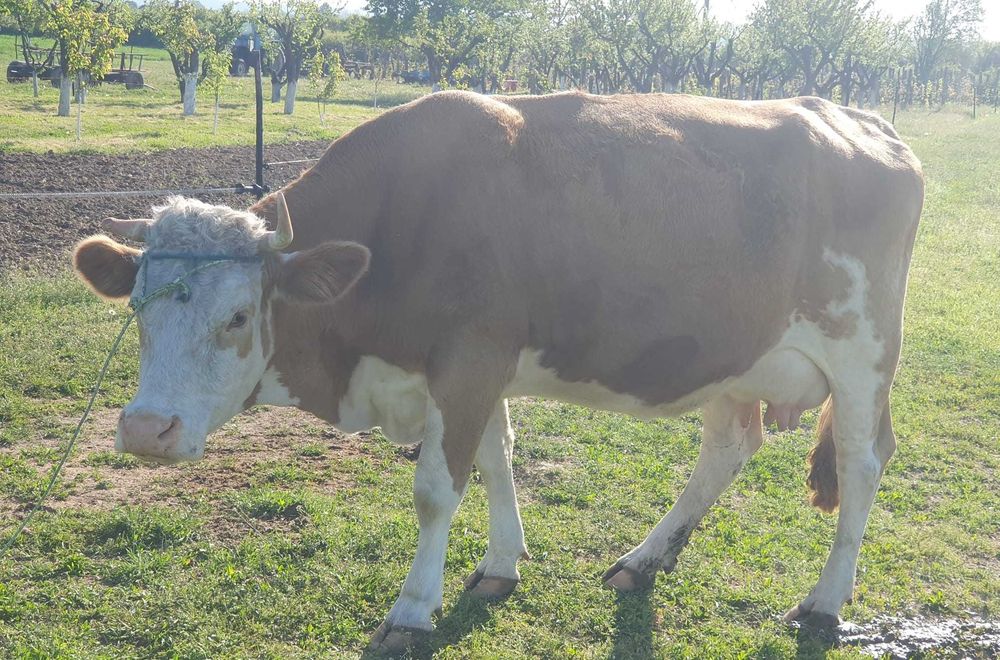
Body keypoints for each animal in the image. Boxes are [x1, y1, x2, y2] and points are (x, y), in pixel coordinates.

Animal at [72, 90, 923, 652]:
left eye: (239, 316)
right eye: (138, 307)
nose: (146, 430)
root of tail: (865, 121)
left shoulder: (469, 358)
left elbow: (437, 488)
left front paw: (413, 607)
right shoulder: (471, 370)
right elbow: (495, 458)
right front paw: (500, 564)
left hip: (864, 350)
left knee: (862, 461)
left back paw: (823, 604)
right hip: (734, 355)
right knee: (728, 447)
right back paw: (645, 560)